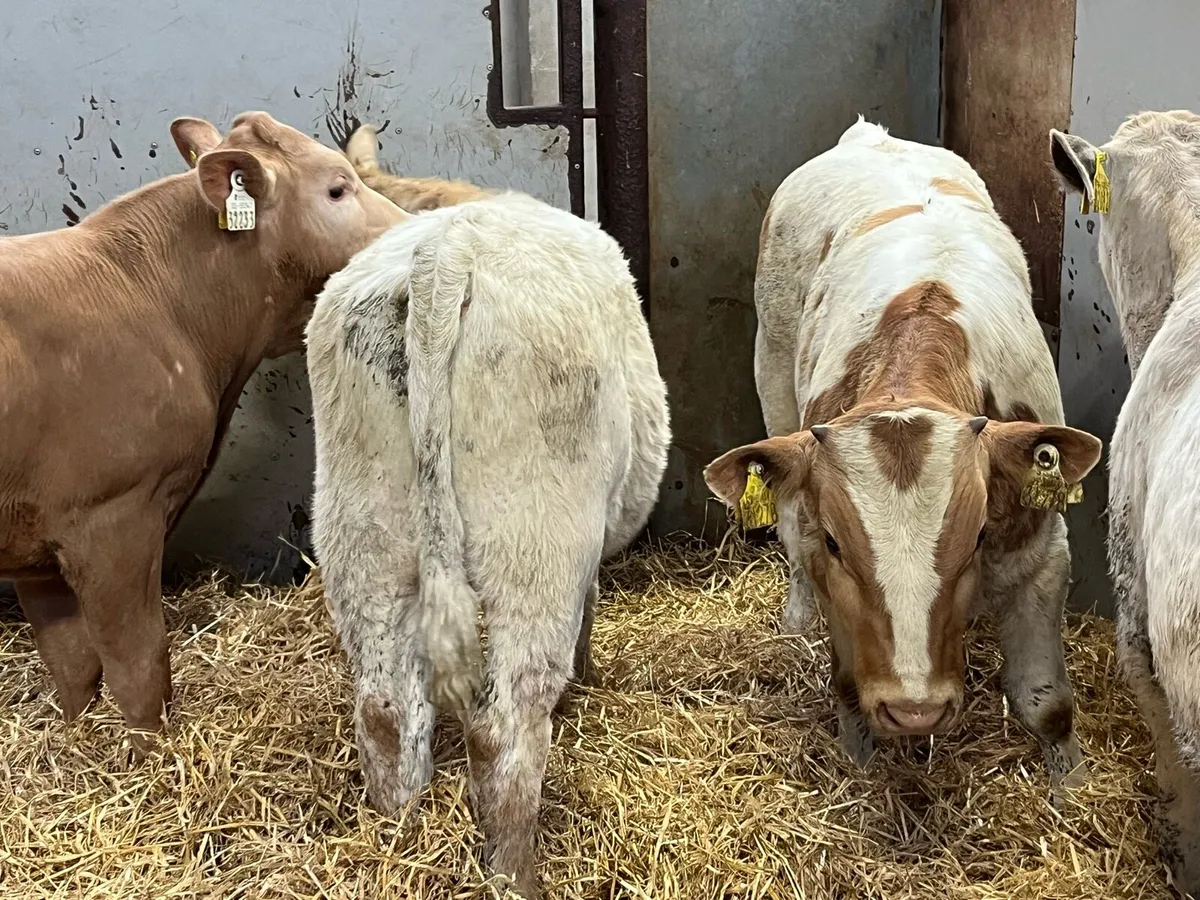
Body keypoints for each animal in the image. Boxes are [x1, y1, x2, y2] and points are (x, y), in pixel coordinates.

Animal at [0, 111, 404, 751]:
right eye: (338, 188)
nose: (414, 230)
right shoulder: (113, 518)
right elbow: (139, 664)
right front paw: (149, 755)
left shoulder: (35, 542)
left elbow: (73, 666)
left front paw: (78, 738)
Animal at [305, 190, 670, 898]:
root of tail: (447, 249)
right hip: (534, 543)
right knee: (505, 731)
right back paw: (515, 875)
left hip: (359, 531)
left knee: (386, 711)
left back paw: (397, 839)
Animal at [705, 118, 1103, 789]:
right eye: (837, 542)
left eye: (976, 536)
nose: (916, 710)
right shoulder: (823, 559)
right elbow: (846, 688)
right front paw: (859, 762)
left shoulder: (1043, 550)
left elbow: (1045, 703)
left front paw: (1070, 787)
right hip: (771, 370)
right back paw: (796, 618)